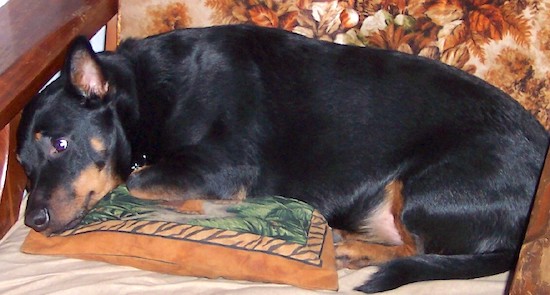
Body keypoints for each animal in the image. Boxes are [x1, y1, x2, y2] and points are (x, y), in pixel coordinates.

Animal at [17, 25, 550, 294]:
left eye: (60, 144)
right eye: (22, 164)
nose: (33, 220)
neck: (147, 96)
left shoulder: (225, 165)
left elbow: (139, 180)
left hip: (428, 187)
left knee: (419, 248)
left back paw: (356, 250)